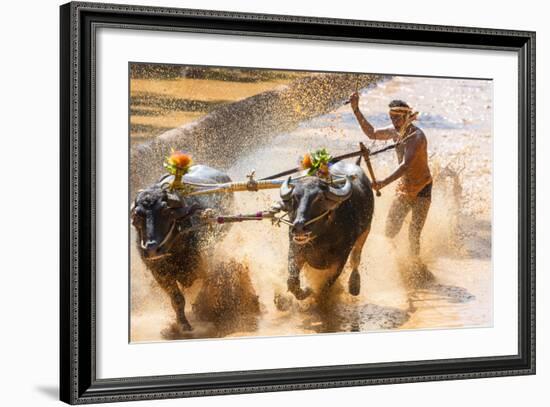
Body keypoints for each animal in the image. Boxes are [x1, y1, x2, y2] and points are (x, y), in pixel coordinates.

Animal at [132, 165, 235, 332]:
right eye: (138, 215)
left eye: (166, 211)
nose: (152, 248)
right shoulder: (160, 274)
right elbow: (177, 299)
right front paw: (183, 324)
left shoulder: (205, 263)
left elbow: (205, 287)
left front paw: (201, 309)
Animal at [280, 162, 376, 300]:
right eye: (294, 198)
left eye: (319, 198)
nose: (299, 226)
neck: (322, 237)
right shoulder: (296, 249)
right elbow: (292, 281)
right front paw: (307, 291)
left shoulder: (340, 260)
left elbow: (326, 286)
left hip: (366, 230)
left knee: (356, 259)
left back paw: (354, 285)